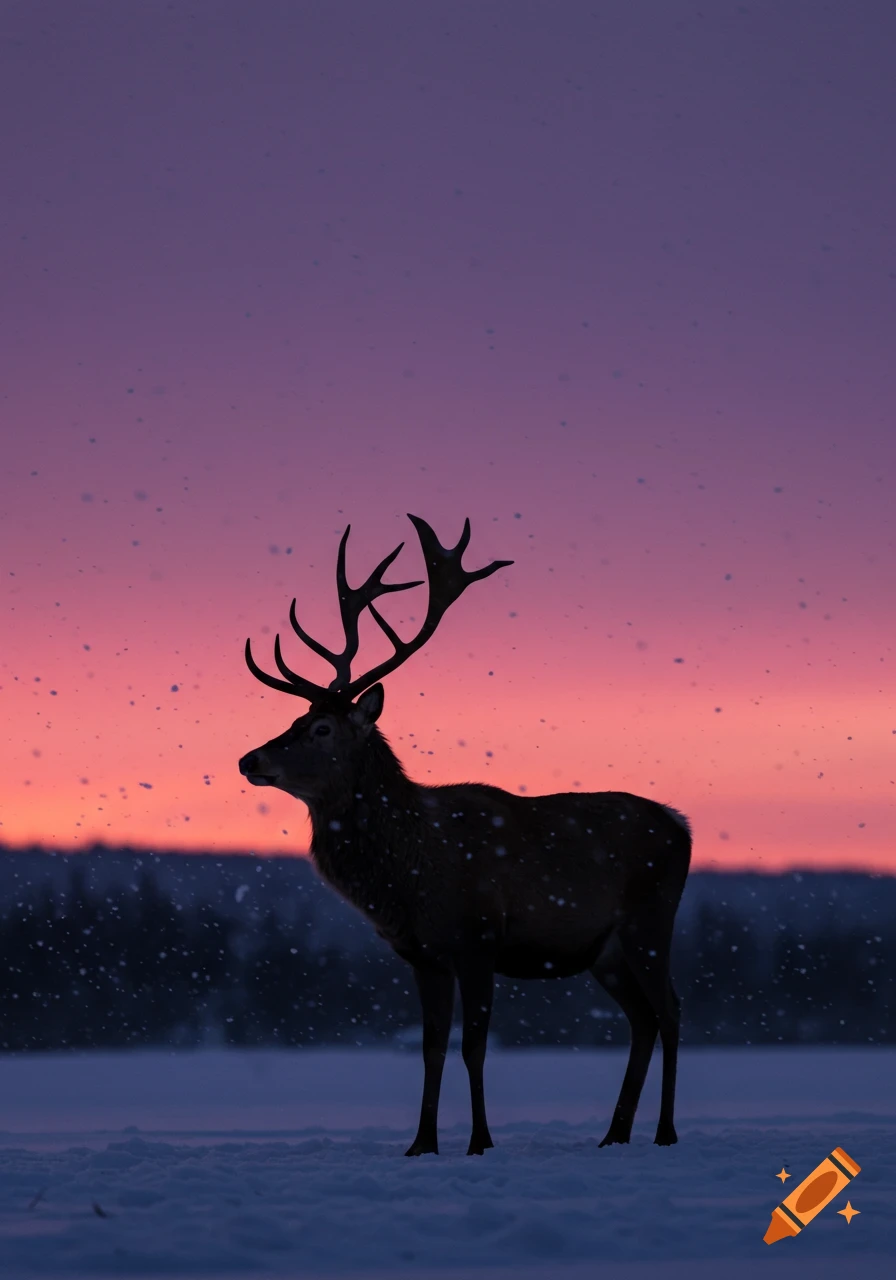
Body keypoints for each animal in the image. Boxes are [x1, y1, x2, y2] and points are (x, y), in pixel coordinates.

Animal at [239, 515, 691, 1156]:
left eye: (321, 728)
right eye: (295, 720)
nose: (249, 759)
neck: (410, 875)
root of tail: (682, 827)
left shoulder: (478, 939)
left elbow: (473, 1047)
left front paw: (480, 1141)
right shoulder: (423, 956)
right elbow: (430, 1050)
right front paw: (421, 1143)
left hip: (650, 921)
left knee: (671, 1010)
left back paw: (665, 1131)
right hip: (602, 951)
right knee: (643, 1018)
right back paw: (614, 1134)